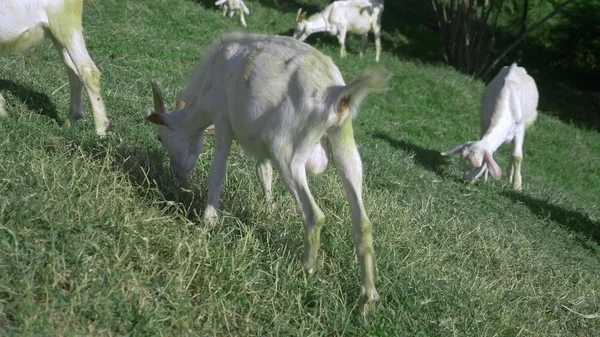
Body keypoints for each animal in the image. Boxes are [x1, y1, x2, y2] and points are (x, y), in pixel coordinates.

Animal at [0, 0, 110, 136]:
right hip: (55, 33)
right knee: (73, 71)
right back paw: (71, 120)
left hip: (66, 26)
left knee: (88, 71)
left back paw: (100, 130)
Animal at [144, 32, 392, 314]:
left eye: (160, 137)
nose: (177, 176)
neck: (212, 72)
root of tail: (336, 93)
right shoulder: (260, 145)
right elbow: (263, 172)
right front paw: (269, 209)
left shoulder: (222, 118)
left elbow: (218, 172)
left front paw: (208, 222)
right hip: (344, 144)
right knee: (363, 221)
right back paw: (368, 297)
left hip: (288, 151)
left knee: (315, 215)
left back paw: (307, 270)